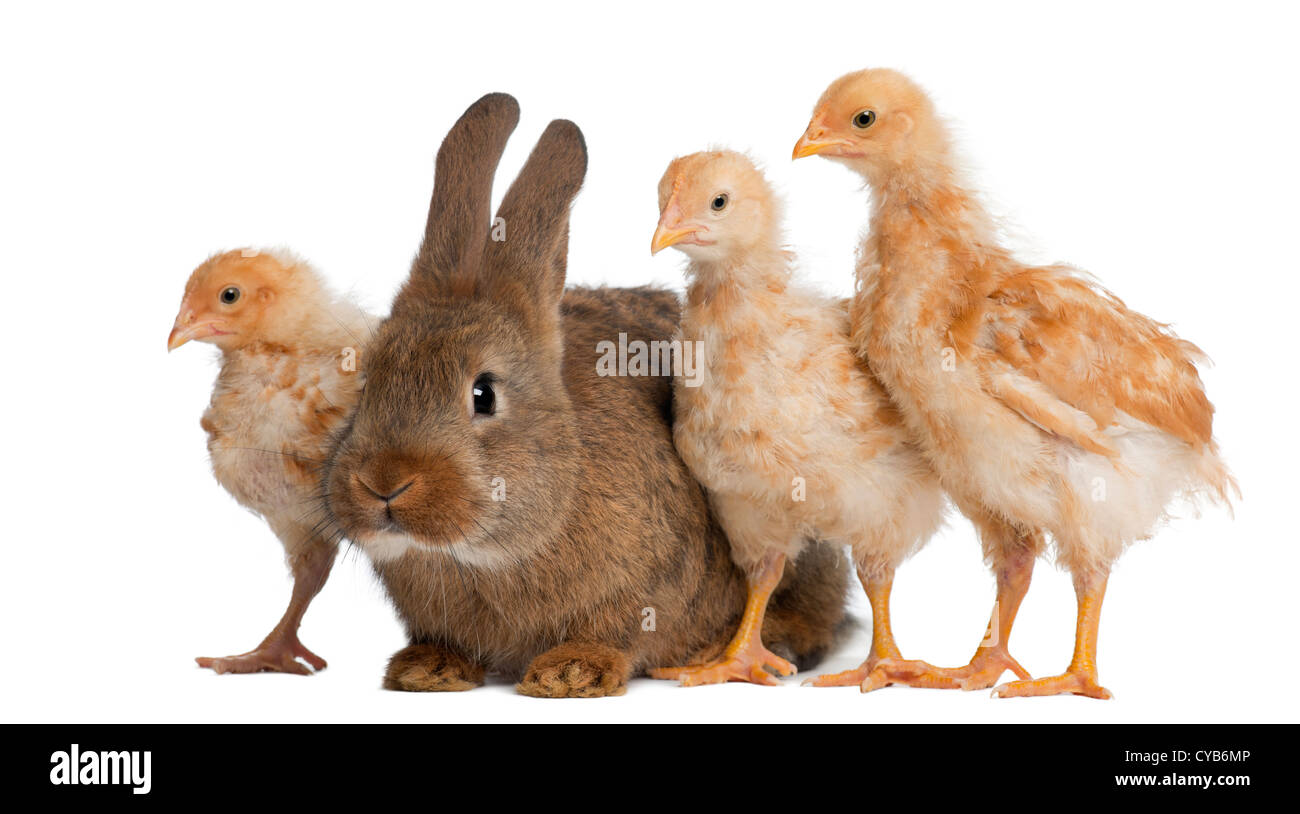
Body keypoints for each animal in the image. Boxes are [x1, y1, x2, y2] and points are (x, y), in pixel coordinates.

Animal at [322, 93, 849, 698]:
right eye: (368, 380)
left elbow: (618, 634)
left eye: (483, 394)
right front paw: (426, 668)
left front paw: (569, 673)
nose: (383, 483)